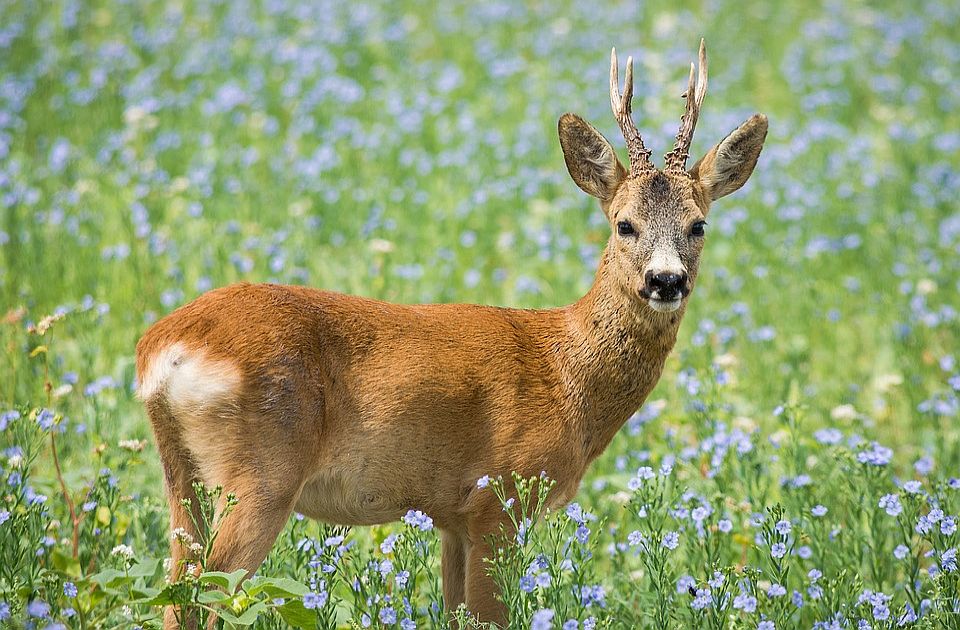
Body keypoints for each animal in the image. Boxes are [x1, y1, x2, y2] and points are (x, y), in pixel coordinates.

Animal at [135, 39, 768, 628]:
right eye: (624, 224)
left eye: (699, 225)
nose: (666, 280)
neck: (566, 375)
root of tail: (164, 348)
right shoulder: (499, 499)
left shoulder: (451, 518)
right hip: (262, 470)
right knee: (206, 593)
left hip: (183, 474)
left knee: (176, 586)